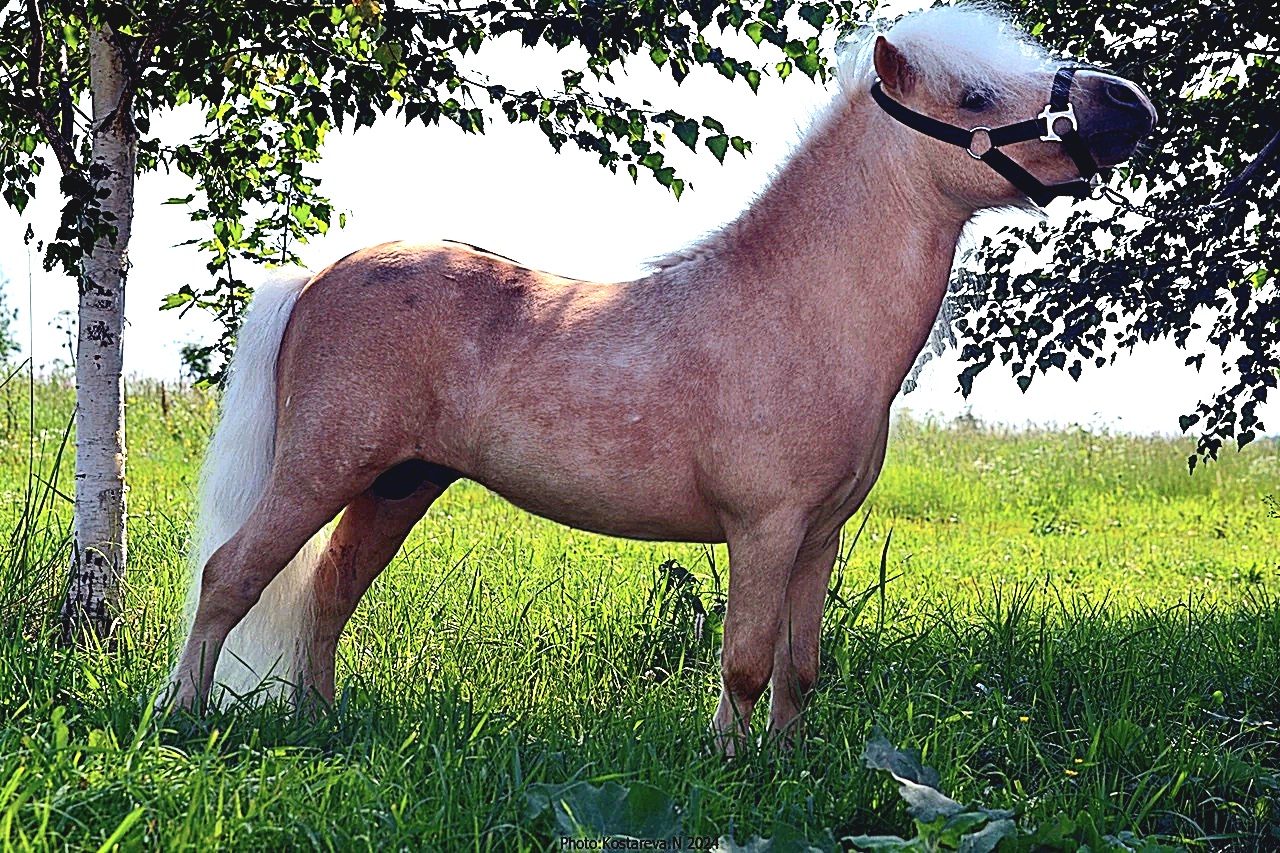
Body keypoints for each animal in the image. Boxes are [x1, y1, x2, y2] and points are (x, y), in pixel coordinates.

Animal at [166, 5, 1155, 753]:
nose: (1130, 101)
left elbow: (800, 664)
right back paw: (182, 718)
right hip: (322, 469)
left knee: (328, 595)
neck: (799, 310)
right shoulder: (764, 528)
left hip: (398, 485)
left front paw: (788, 764)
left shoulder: (820, 535)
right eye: (976, 94)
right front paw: (727, 765)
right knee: (230, 576)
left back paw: (322, 722)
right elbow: (745, 660)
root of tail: (324, 273)